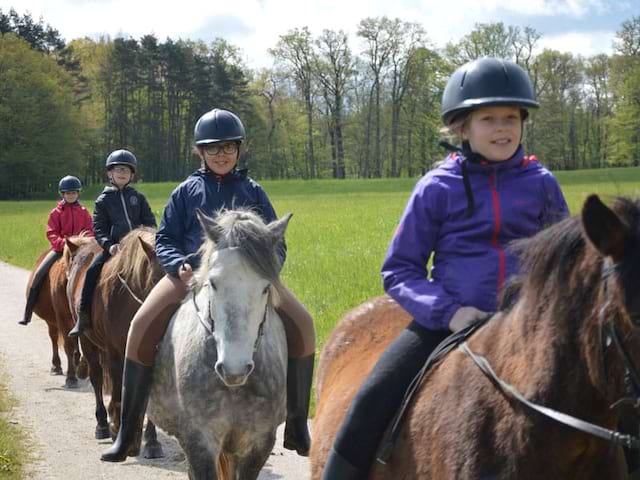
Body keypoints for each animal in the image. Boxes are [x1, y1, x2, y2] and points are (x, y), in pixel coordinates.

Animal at [26, 237, 97, 390]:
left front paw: (82, 368)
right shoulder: (63, 319)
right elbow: (68, 346)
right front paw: (71, 378)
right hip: (52, 321)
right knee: (54, 338)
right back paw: (56, 366)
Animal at [65, 227, 164, 456]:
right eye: (157, 279)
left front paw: (151, 441)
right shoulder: (114, 352)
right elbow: (118, 389)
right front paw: (118, 431)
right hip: (88, 343)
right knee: (97, 379)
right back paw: (102, 425)